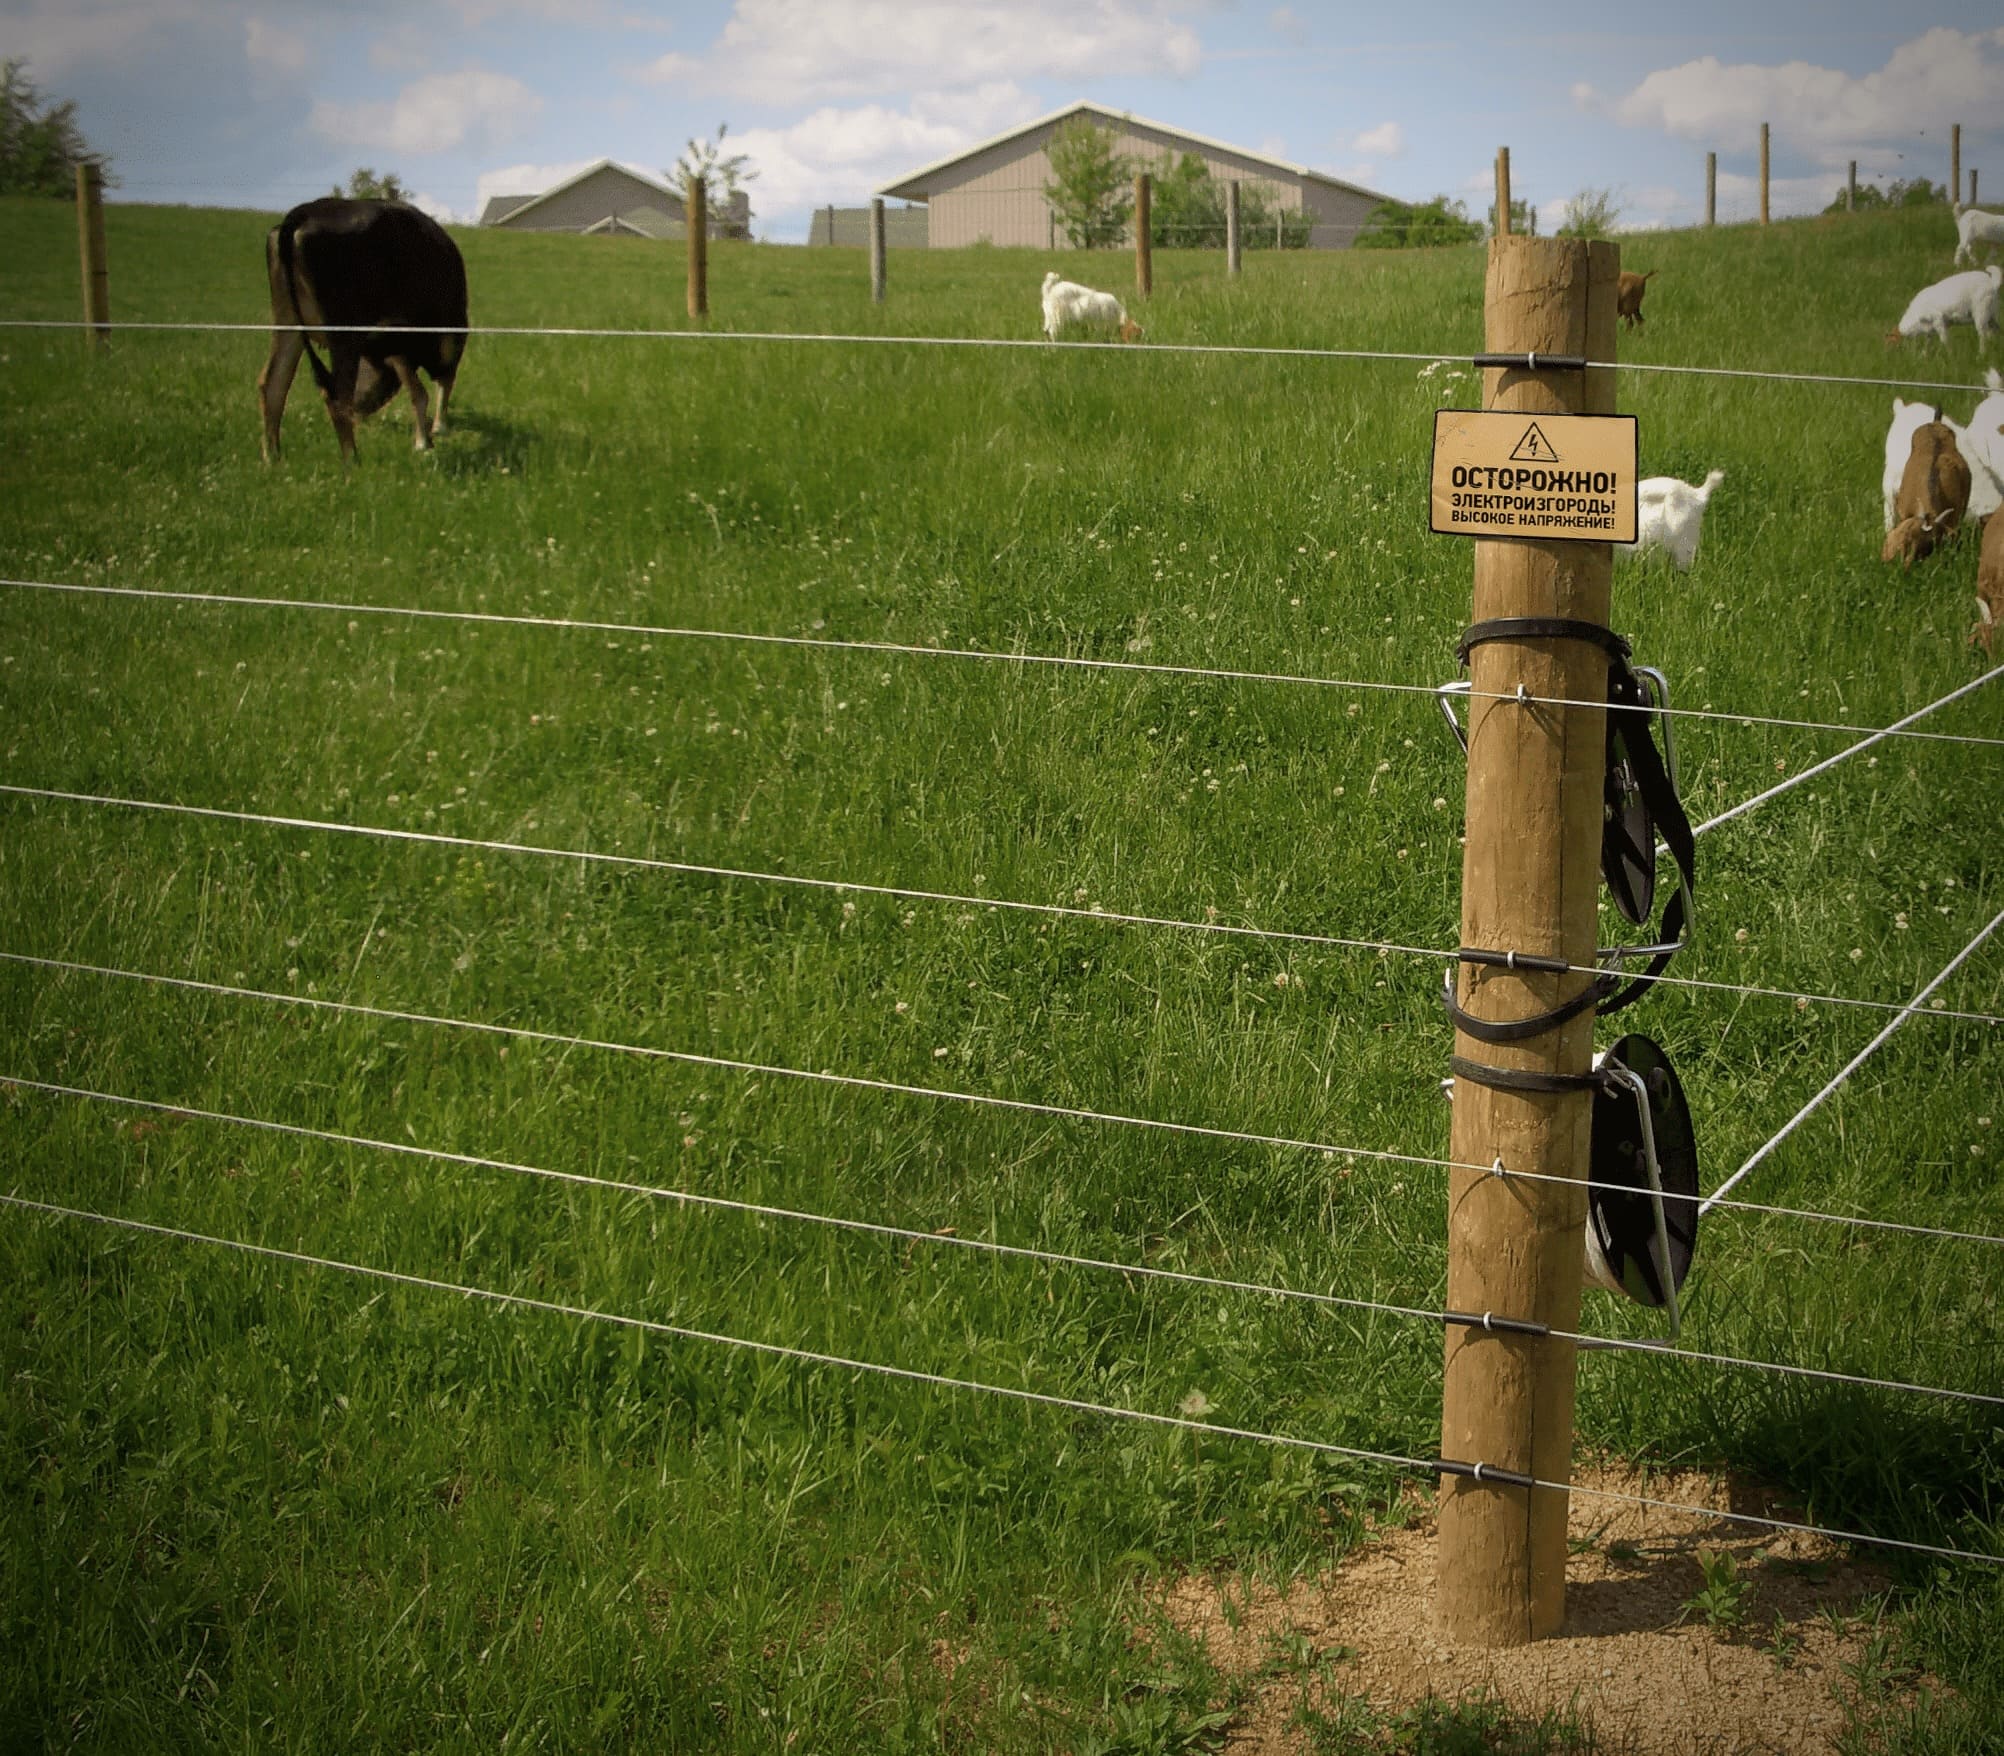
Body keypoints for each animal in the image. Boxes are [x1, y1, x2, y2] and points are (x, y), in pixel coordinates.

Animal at [258, 199, 468, 463]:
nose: (359, 413)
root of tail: (304, 211)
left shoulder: (392, 345)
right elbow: (432, 386)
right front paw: (430, 435)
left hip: (287, 321)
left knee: (274, 382)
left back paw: (273, 459)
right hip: (344, 333)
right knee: (337, 396)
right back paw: (353, 461)